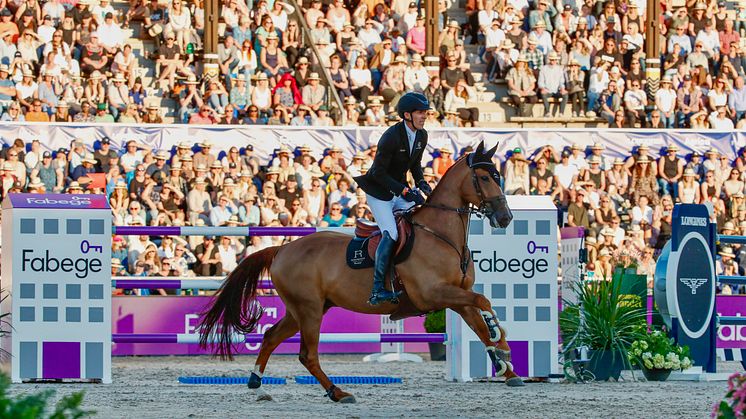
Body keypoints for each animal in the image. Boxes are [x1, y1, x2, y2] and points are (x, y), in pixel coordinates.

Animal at [201, 142, 520, 404]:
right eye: (484, 178)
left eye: (498, 176)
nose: (505, 218)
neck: (440, 234)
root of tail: (281, 250)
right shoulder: (434, 294)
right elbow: (483, 303)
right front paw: (501, 341)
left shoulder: (457, 297)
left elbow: (479, 322)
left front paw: (505, 365)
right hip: (309, 310)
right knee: (308, 355)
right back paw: (338, 393)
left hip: (302, 309)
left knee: (270, 336)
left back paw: (257, 381)